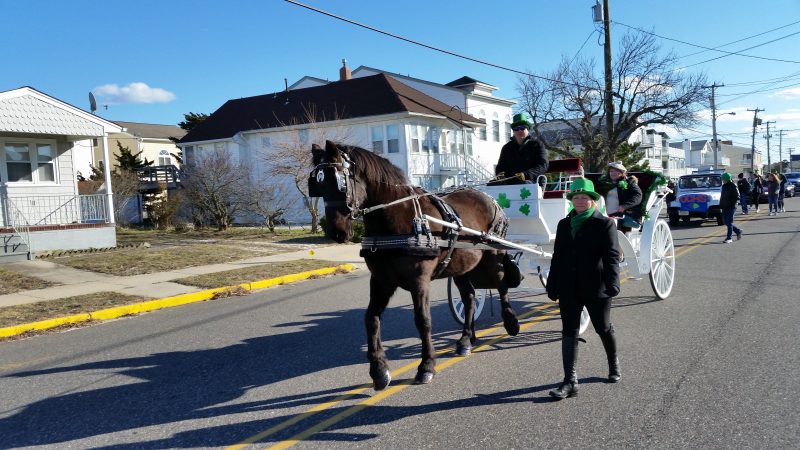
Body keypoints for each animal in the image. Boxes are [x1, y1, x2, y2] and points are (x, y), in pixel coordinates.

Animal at [310, 142, 520, 390]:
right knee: (469, 298)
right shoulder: (381, 280)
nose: (336, 232)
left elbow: (423, 320)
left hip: (493, 255)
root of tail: (488, 197)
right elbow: (371, 318)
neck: (396, 220)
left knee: (501, 284)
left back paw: (510, 322)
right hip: (461, 265)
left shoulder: (419, 281)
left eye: (341, 183)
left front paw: (427, 365)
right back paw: (466, 340)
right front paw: (379, 370)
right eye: (318, 185)